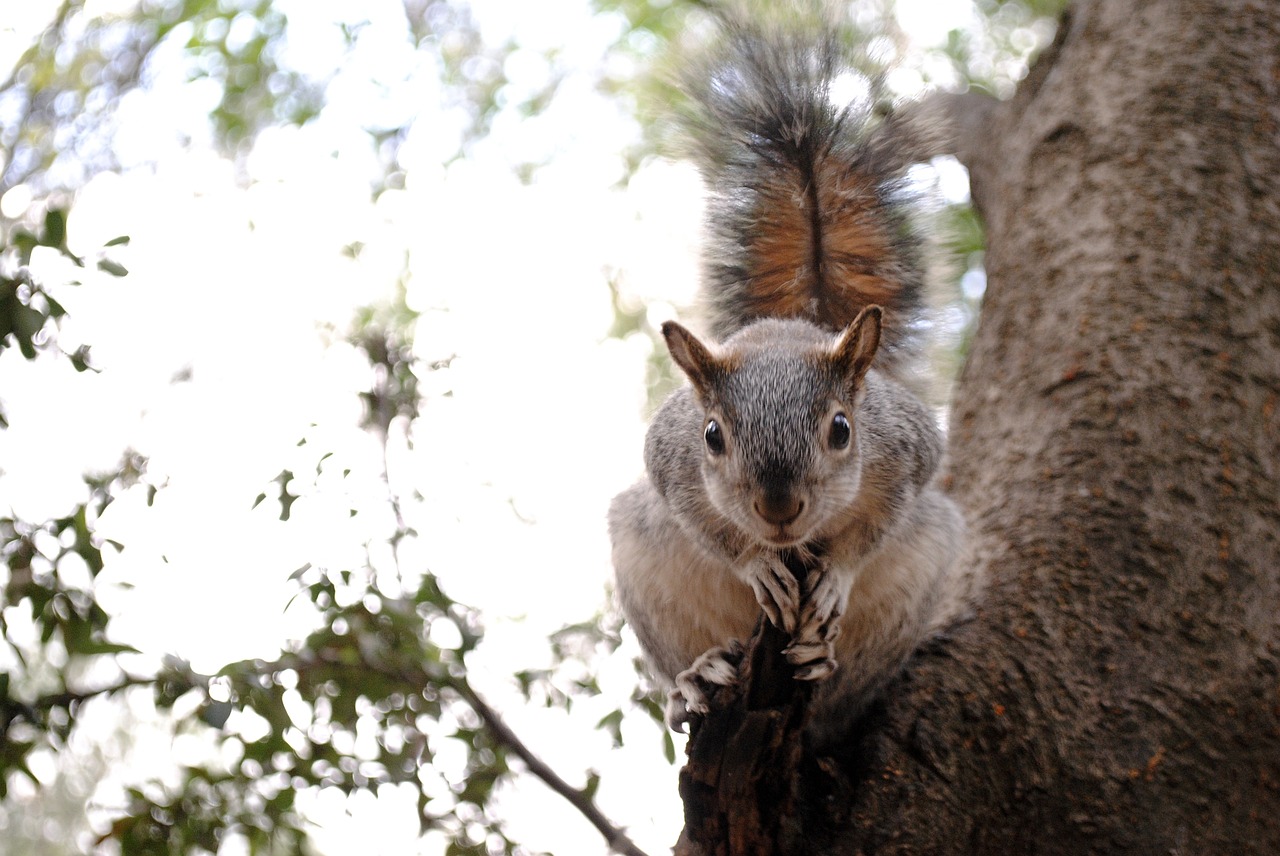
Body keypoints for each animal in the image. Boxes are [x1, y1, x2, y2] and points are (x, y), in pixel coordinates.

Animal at [604, 15, 972, 747]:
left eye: (842, 429)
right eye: (712, 436)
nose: (778, 510)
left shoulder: (908, 450)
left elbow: (879, 522)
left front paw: (836, 577)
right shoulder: (670, 460)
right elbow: (705, 523)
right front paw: (755, 563)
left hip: (922, 570)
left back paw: (818, 660)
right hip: (643, 562)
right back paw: (696, 678)